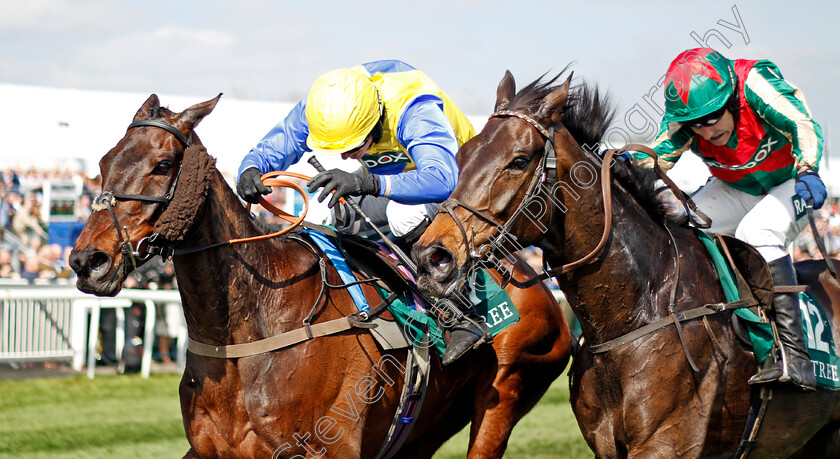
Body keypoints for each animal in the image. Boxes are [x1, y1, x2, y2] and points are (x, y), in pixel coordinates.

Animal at [69, 94, 576, 459]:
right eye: (104, 161)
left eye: (162, 165)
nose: (88, 260)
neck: (248, 330)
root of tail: (532, 276)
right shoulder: (208, 450)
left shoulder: (328, 448)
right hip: (424, 428)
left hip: (505, 393)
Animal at [412, 70, 840, 458]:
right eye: (461, 156)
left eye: (518, 161)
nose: (431, 257)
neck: (639, 315)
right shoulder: (607, 445)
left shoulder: (666, 444)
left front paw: (811, 181)